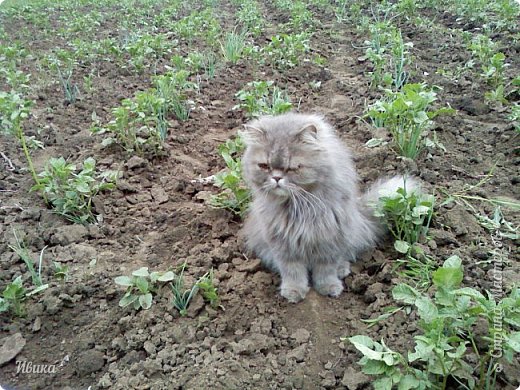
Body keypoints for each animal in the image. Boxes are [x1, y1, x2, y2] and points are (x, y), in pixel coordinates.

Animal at [241, 111, 414, 304]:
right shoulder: (283, 244)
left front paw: (329, 287)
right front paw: (294, 291)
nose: (276, 178)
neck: (300, 207)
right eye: (264, 166)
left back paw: (342, 269)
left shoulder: (329, 240)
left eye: (293, 168)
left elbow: (326, 270)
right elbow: (292, 271)